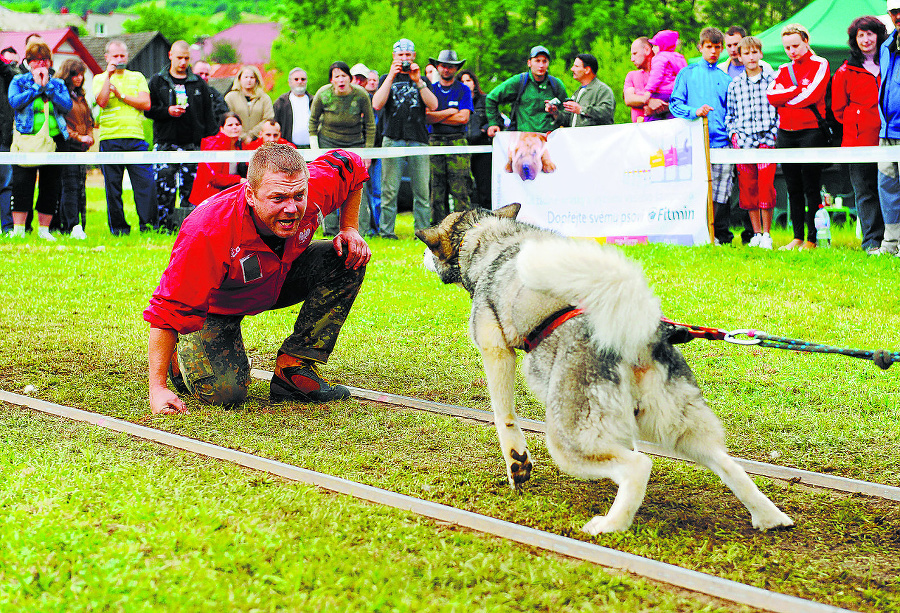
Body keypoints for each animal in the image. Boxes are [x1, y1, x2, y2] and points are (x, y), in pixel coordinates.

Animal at [418, 204, 792, 532]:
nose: (420, 257)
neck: (491, 238)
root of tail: (638, 333)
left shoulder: (495, 349)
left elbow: (504, 417)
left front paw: (516, 464)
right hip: (679, 428)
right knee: (728, 464)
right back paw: (769, 517)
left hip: (568, 441)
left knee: (638, 466)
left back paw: (610, 525)